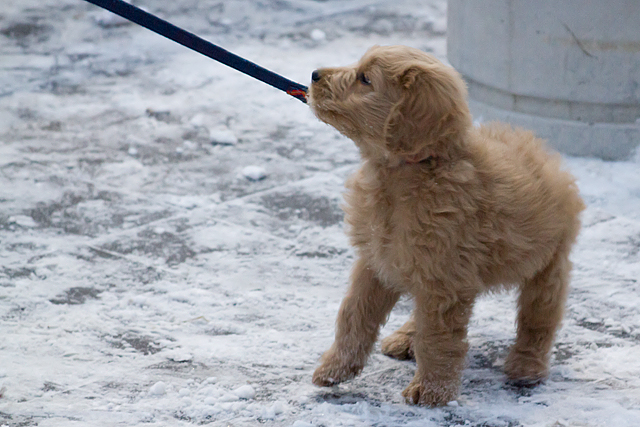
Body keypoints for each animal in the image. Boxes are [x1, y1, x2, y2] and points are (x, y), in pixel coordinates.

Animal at [308, 46, 584, 408]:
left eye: (365, 79)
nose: (314, 75)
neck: (406, 173)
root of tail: (543, 153)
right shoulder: (380, 262)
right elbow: (354, 315)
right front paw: (334, 369)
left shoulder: (444, 279)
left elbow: (437, 338)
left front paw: (432, 392)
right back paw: (405, 337)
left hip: (548, 263)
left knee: (539, 317)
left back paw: (527, 365)